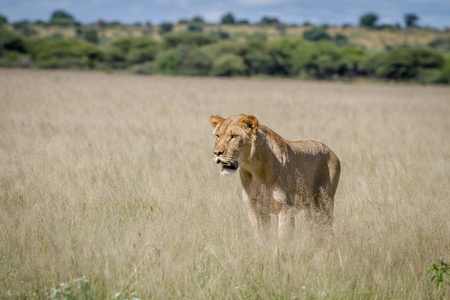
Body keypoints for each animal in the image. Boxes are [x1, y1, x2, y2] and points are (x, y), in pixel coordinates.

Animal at [209, 113, 340, 240]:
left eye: (234, 136)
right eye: (218, 136)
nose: (217, 153)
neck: (254, 168)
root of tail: (332, 152)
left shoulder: (286, 207)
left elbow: (283, 239)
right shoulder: (255, 208)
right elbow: (260, 237)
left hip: (324, 205)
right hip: (310, 209)